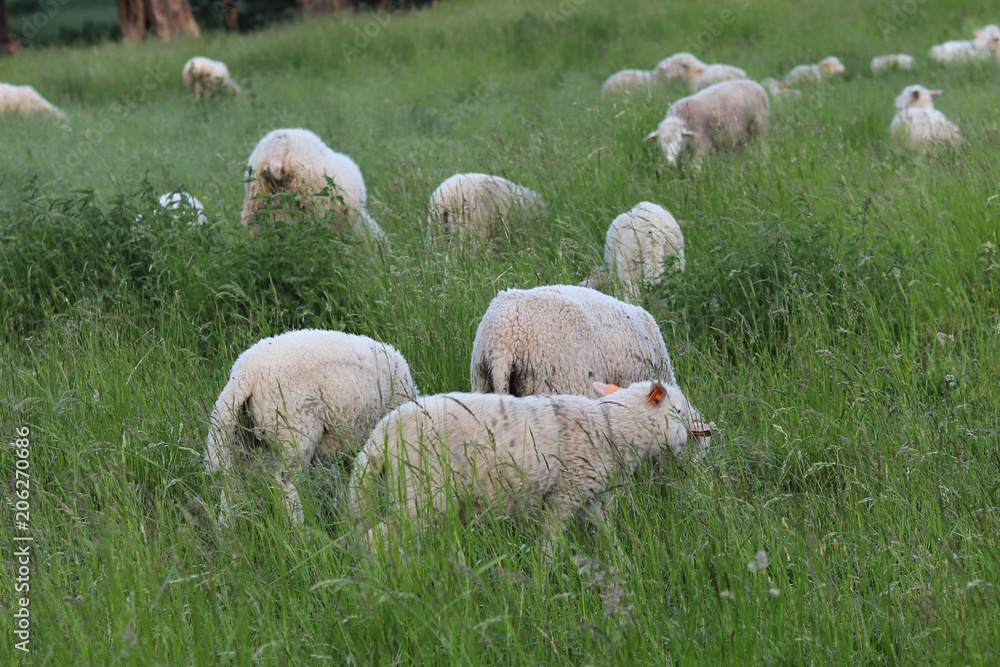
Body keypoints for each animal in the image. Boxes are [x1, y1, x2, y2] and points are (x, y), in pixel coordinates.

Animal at [204, 329, 416, 524]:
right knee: (286, 485)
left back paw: (227, 527)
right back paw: (299, 528)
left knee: (232, 480)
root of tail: (245, 374)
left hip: (241, 433)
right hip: (294, 432)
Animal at [348, 380, 714, 555]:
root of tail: (380, 434)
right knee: (375, 539)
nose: (705, 429)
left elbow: (606, 536)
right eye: (679, 410)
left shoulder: (592, 499)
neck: (609, 427)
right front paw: (545, 576)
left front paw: (622, 562)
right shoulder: (564, 494)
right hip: (423, 491)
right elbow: (550, 540)